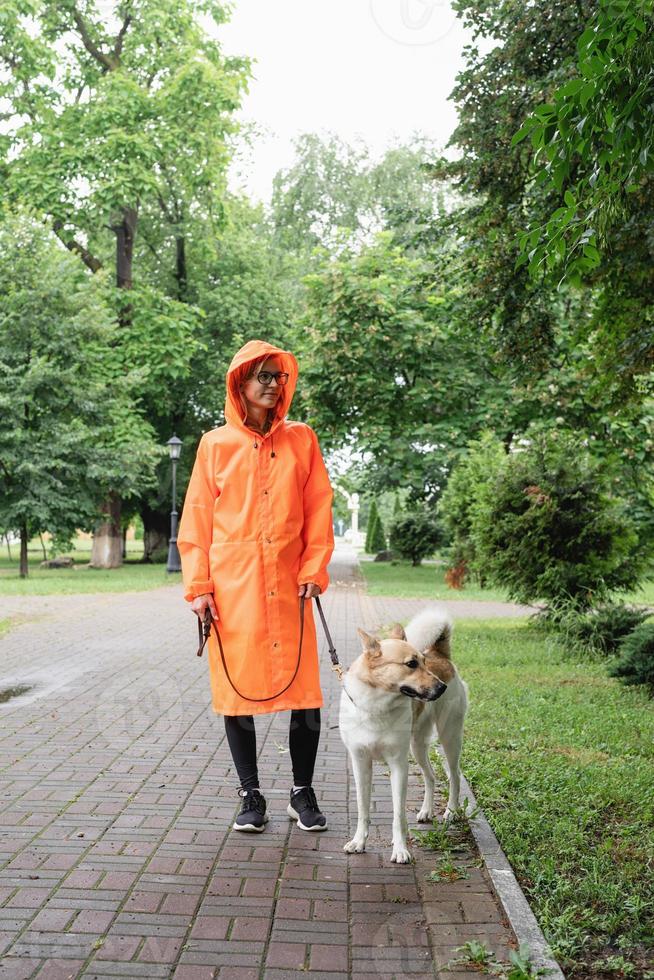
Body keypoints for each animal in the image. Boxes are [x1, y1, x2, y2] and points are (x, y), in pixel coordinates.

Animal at [338, 604, 472, 864]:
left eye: (423, 662)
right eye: (411, 664)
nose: (441, 688)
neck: (376, 706)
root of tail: (440, 654)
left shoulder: (398, 764)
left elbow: (398, 814)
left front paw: (400, 849)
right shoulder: (360, 762)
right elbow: (362, 808)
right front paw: (359, 841)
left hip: (449, 738)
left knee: (454, 776)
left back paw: (451, 811)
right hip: (417, 746)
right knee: (431, 776)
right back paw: (426, 811)